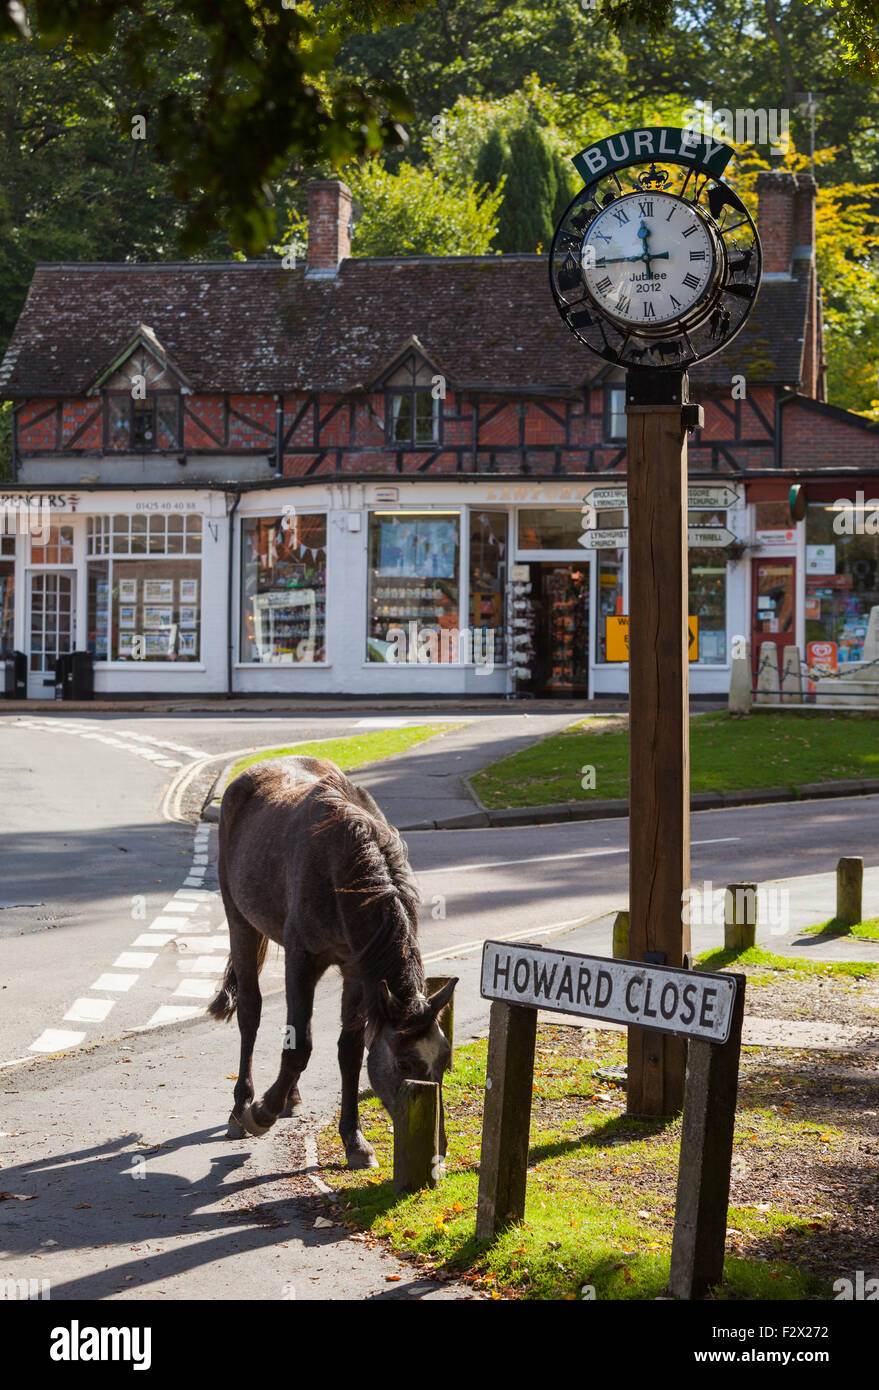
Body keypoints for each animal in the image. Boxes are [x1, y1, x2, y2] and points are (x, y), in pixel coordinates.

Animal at [210, 756, 456, 1167]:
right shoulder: (302, 960)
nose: (436, 1151)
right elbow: (300, 1047)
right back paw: (241, 1107)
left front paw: (354, 1140)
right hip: (239, 920)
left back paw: (290, 1098)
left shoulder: (357, 969)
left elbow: (349, 1051)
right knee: (250, 1011)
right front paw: (261, 1112)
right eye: (406, 1065)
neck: (344, 868)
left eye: (444, 1063)